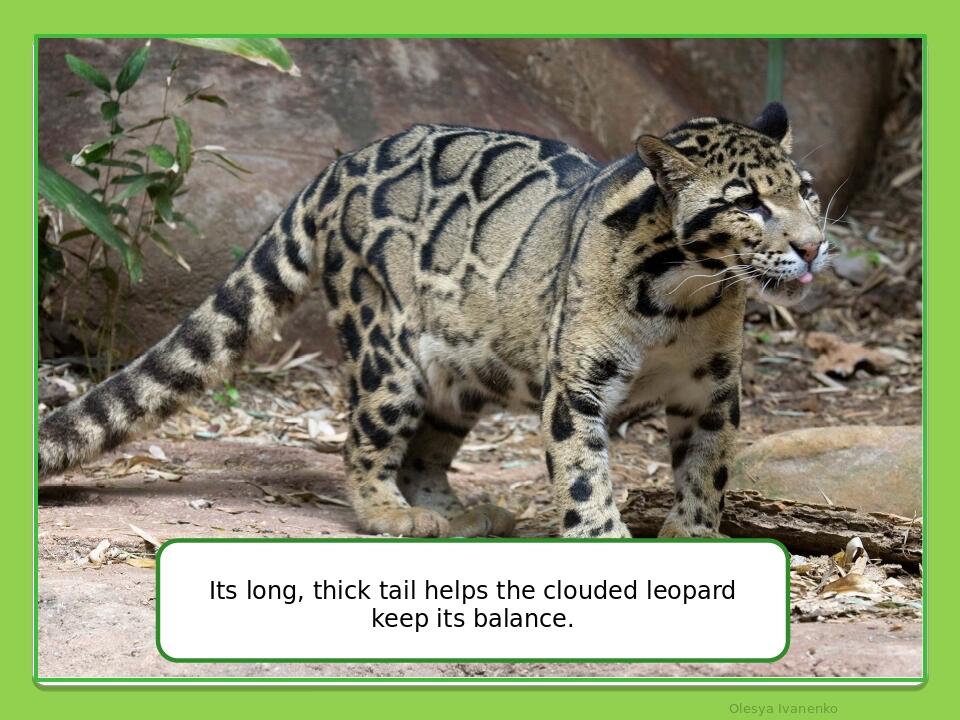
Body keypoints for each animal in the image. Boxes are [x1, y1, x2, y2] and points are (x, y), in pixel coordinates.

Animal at [38, 101, 829, 539]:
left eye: (806, 191)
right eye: (747, 203)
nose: (815, 244)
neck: (685, 296)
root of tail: (341, 163)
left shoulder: (711, 392)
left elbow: (706, 473)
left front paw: (694, 538)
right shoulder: (575, 390)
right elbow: (584, 478)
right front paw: (605, 542)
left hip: (461, 371)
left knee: (427, 451)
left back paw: (459, 515)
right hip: (387, 353)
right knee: (363, 442)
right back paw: (392, 516)